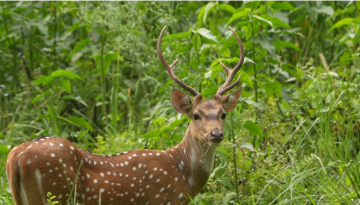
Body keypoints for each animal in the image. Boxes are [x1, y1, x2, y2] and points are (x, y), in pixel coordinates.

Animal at [6, 26, 245, 205]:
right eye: (196, 115)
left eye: (223, 114)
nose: (216, 134)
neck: (184, 177)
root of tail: (15, 157)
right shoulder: (164, 199)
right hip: (52, 194)